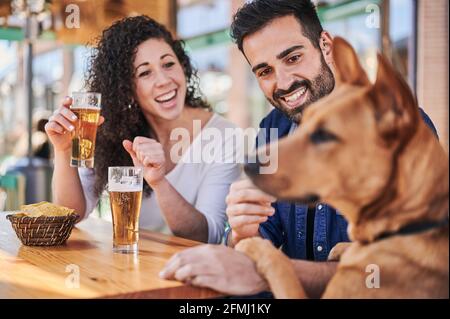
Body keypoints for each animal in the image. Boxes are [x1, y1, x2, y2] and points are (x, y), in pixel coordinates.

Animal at [237, 37, 448, 300]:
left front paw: (255, 245)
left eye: (324, 135)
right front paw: (342, 248)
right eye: (305, 123)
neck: (410, 221)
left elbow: (281, 263)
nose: (247, 165)